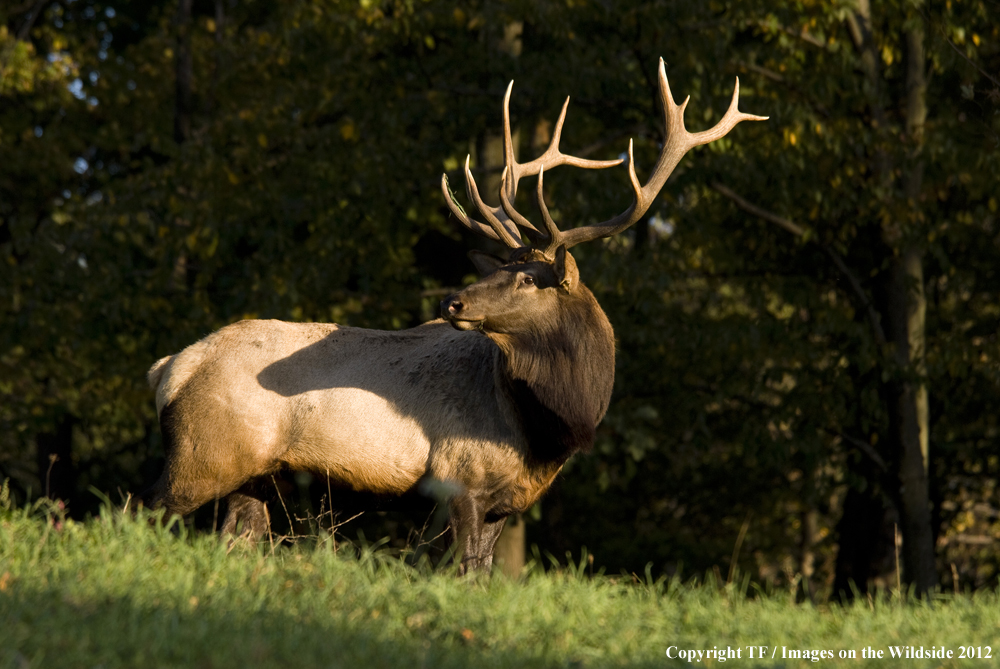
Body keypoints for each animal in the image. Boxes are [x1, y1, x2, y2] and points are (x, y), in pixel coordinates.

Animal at [141, 60, 764, 572]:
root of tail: (169, 368)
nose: (451, 303)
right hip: (201, 456)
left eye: (526, 277)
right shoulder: (458, 481)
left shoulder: (505, 504)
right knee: (141, 513)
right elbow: (460, 572)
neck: (549, 430)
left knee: (235, 539)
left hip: (255, 478)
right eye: (507, 268)